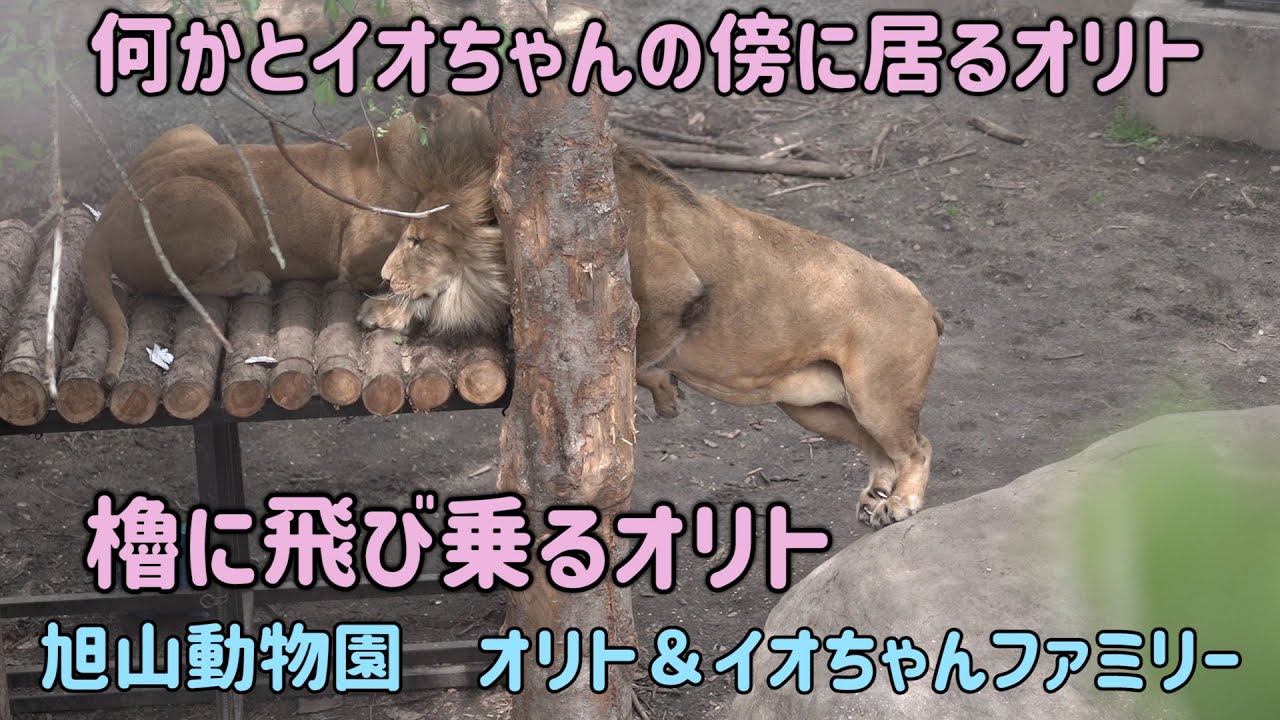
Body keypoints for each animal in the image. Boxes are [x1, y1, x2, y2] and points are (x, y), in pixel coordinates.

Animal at [82, 94, 494, 387]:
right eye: (482, 123)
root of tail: (109, 215)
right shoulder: (357, 258)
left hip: (191, 130)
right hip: (212, 203)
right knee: (179, 285)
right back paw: (252, 281)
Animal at [365, 97, 944, 530]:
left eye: (418, 241)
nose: (386, 275)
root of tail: (927, 304)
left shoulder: (673, 289)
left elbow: (636, 355)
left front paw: (659, 394)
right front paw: (381, 311)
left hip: (876, 396)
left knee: (917, 446)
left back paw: (901, 503)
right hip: (814, 407)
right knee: (879, 450)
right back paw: (876, 495)